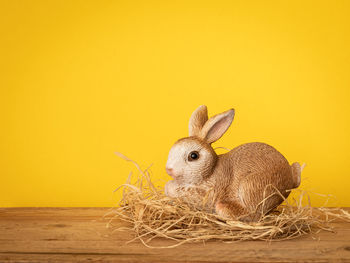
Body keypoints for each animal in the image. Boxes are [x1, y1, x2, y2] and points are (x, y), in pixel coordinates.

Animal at [164, 105, 300, 221]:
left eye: (193, 156)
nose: (168, 169)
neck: (210, 170)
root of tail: (290, 179)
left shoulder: (210, 192)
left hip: (251, 186)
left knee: (253, 215)